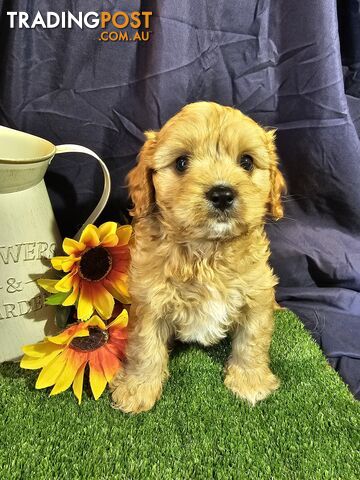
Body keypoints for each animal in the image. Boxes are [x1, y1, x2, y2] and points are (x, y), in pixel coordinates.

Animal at [111, 101, 286, 412]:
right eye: (181, 162)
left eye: (247, 162)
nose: (222, 193)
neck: (208, 251)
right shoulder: (149, 301)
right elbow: (145, 347)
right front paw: (137, 389)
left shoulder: (257, 294)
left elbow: (252, 340)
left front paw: (250, 382)